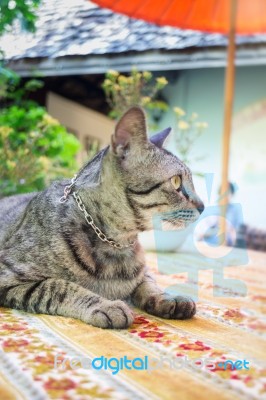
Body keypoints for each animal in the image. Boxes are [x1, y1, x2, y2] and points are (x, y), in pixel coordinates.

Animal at [0, 106, 205, 328]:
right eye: (176, 182)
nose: (203, 206)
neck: (117, 244)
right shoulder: (8, 274)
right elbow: (58, 286)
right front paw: (105, 305)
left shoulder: (143, 272)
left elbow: (149, 283)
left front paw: (167, 297)